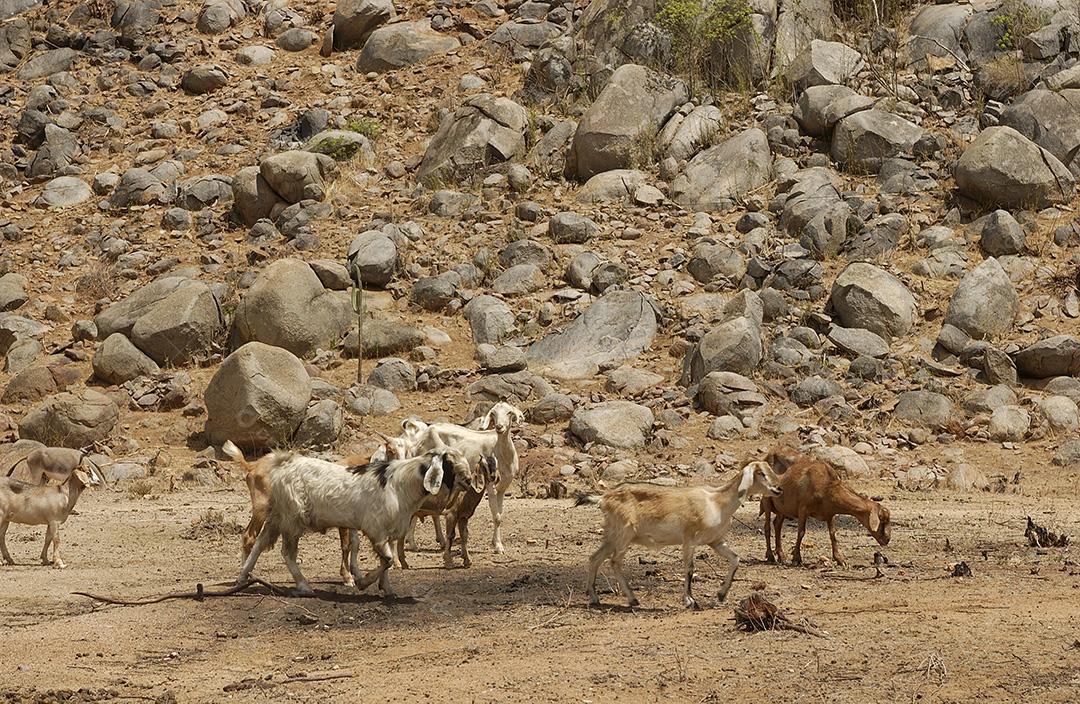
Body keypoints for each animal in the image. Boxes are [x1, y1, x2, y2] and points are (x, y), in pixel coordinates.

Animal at [231, 442, 477, 596]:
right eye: (449, 462)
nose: (468, 479)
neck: (401, 484)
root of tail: (282, 464)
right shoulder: (376, 530)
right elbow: (387, 560)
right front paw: (362, 582)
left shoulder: (389, 532)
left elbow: (386, 562)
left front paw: (387, 589)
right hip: (291, 520)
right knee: (286, 553)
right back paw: (303, 585)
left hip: (277, 515)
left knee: (260, 542)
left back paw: (243, 577)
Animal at [410, 402, 523, 561]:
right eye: (493, 414)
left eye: (509, 413)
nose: (499, 427)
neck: (501, 453)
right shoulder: (490, 485)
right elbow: (496, 516)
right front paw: (498, 547)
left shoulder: (503, 487)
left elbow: (499, 516)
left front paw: (496, 543)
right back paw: (413, 544)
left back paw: (441, 542)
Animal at [582, 461, 782, 609]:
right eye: (761, 473)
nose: (779, 489)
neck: (716, 502)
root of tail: (604, 498)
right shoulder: (690, 540)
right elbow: (690, 568)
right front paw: (690, 601)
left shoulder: (715, 541)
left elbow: (735, 559)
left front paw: (720, 595)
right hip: (624, 534)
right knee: (614, 562)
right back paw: (632, 599)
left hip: (612, 535)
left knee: (595, 558)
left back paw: (595, 598)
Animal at [759, 446, 891, 566]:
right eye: (882, 520)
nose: (887, 539)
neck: (827, 486)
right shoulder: (803, 509)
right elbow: (801, 532)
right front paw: (797, 558)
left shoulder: (830, 513)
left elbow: (833, 534)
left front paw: (840, 559)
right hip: (767, 500)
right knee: (767, 527)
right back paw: (770, 556)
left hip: (782, 507)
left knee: (777, 525)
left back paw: (781, 555)